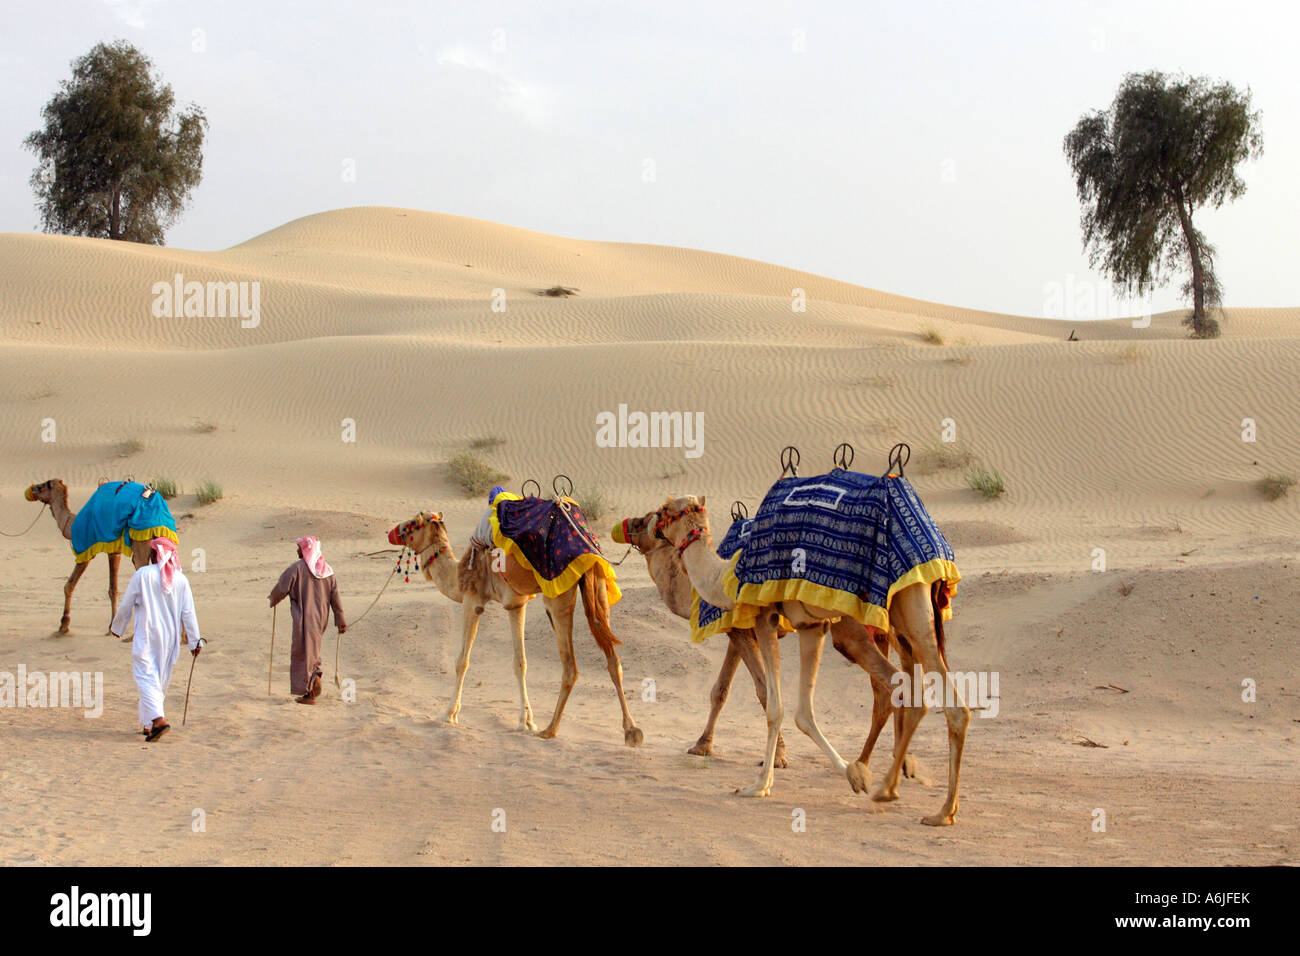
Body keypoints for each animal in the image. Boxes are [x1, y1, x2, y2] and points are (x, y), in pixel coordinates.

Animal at [26, 478, 179, 634]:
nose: (31, 489)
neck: (72, 524)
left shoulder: (86, 549)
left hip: (142, 541)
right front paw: (112, 626)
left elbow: (69, 585)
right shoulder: (114, 550)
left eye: (41, 486)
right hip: (163, 542)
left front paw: (64, 625)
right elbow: (113, 589)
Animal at [613, 512, 920, 780]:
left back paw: (871, 765)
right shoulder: (738, 631)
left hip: (851, 629)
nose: (623, 525)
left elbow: (762, 690)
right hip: (888, 628)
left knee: (889, 683)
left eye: (642, 522)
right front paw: (702, 746)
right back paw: (894, 764)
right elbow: (720, 690)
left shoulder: (741, 629)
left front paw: (778, 758)